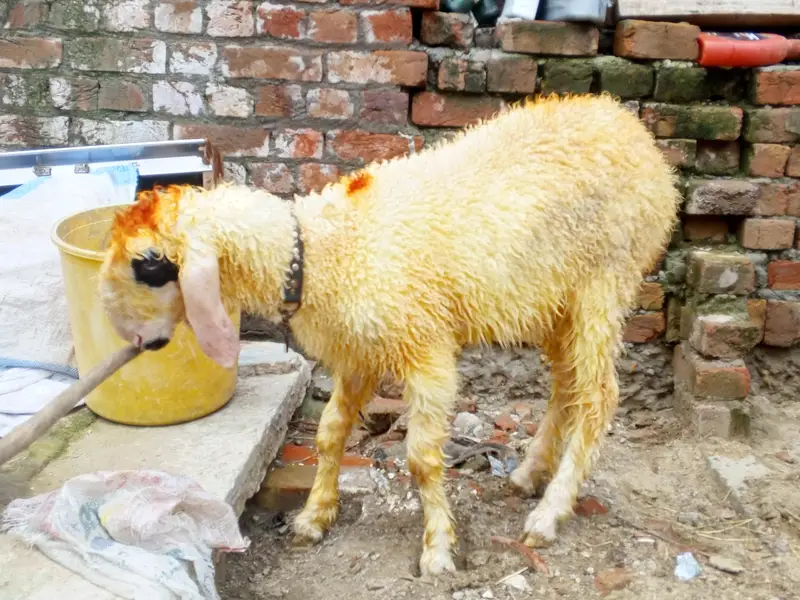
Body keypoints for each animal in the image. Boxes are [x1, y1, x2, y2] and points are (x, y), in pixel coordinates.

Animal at [98, 93, 681, 576]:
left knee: (599, 396)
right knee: (568, 385)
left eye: (149, 264)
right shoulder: (358, 352)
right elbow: (330, 433)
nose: (124, 336)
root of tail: (628, 124)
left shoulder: (425, 351)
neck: (320, 252)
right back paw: (531, 473)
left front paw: (438, 548)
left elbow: (421, 460)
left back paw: (550, 511)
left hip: (605, 280)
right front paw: (315, 516)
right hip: (556, 299)